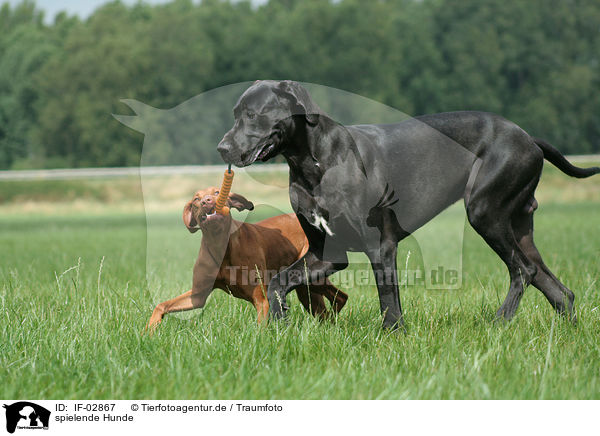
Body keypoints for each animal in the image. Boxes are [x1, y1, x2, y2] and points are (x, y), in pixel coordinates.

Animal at [145, 186, 346, 332]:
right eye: (196, 198)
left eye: (217, 192)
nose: (206, 201)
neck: (221, 246)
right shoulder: (197, 296)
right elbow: (161, 306)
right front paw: (149, 330)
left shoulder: (261, 299)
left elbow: (260, 328)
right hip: (306, 290)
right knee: (331, 305)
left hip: (309, 277)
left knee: (340, 297)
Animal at [218, 80, 596, 328]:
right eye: (235, 113)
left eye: (252, 114)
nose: (222, 148)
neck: (314, 162)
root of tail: (528, 137)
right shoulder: (326, 254)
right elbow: (279, 282)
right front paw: (278, 323)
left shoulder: (381, 247)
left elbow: (389, 303)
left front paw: (392, 338)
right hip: (518, 228)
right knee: (557, 289)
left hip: (485, 213)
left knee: (523, 271)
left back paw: (499, 323)